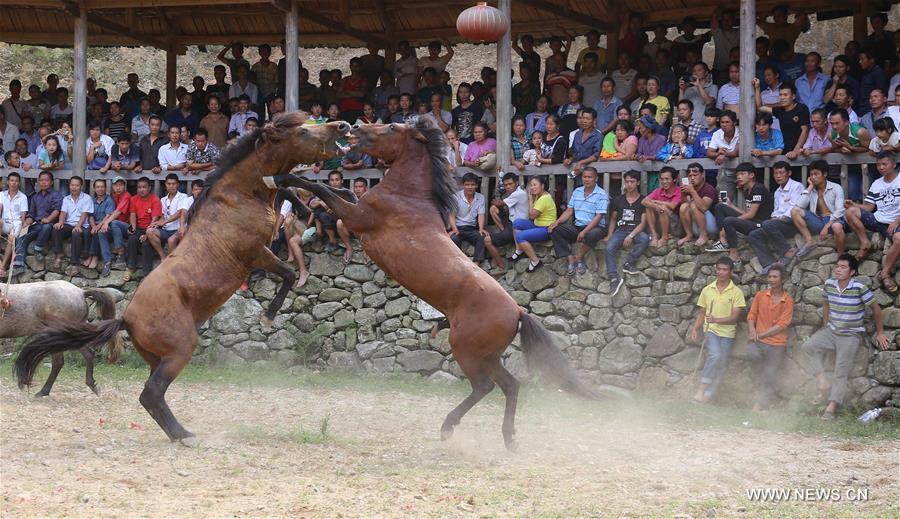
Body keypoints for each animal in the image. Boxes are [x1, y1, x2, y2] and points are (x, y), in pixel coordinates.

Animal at [16, 116, 352, 440]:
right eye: (303, 133)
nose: (343, 126)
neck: (238, 197)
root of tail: (126, 320)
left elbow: (285, 186)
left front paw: (318, 202)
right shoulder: (258, 253)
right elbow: (290, 272)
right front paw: (268, 317)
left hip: (160, 358)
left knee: (152, 395)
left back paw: (177, 432)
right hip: (181, 349)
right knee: (151, 393)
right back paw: (184, 435)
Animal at [272, 118, 596, 450]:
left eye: (391, 128)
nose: (355, 128)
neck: (407, 196)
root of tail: (518, 312)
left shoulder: (356, 217)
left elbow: (323, 188)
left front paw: (284, 176)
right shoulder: (356, 207)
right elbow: (336, 190)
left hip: (465, 350)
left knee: (484, 386)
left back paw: (449, 427)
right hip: (488, 356)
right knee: (510, 385)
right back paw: (508, 438)